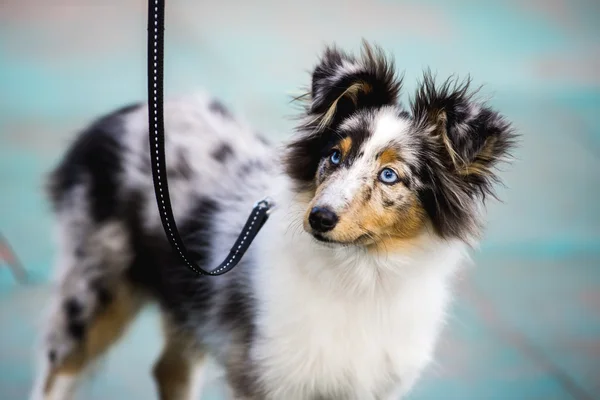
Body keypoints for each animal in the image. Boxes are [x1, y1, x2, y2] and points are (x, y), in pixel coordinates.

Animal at [34, 43, 516, 400]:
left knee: (170, 370)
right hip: (94, 285)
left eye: (389, 175)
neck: (361, 276)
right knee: (57, 371)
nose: (319, 218)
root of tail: (113, 119)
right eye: (334, 156)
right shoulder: (268, 373)